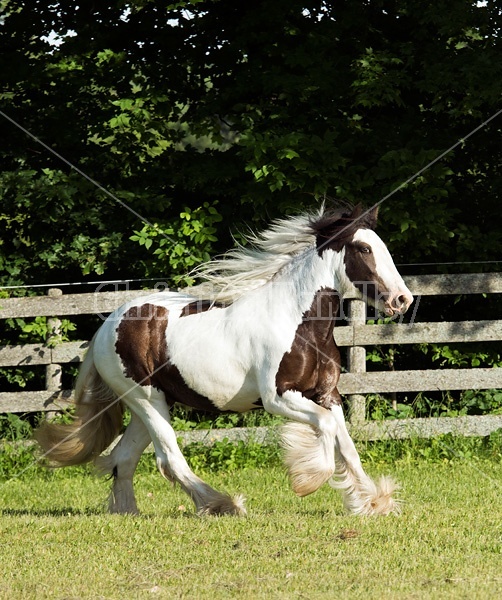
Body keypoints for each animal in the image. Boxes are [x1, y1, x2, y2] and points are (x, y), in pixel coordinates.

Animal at [34, 205, 412, 516]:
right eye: (364, 249)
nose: (402, 299)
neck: (298, 323)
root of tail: (108, 325)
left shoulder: (327, 394)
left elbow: (347, 445)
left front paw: (372, 503)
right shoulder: (278, 398)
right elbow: (327, 429)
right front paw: (308, 479)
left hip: (151, 403)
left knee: (124, 460)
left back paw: (128, 512)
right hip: (147, 399)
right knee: (168, 458)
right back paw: (224, 505)